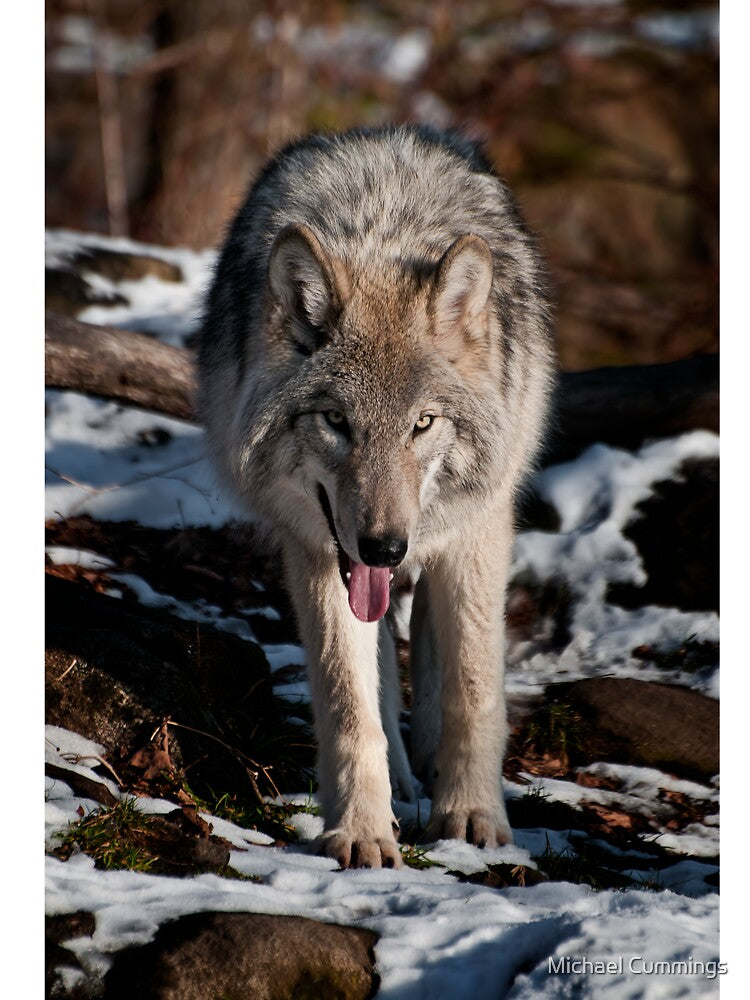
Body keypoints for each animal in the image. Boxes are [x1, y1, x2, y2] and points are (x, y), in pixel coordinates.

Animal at [198, 124, 554, 869]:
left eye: (422, 423)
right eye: (337, 421)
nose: (385, 546)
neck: (379, 236)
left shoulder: (480, 529)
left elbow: (473, 687)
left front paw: (471, 814)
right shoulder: (316, 548)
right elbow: (349, 703)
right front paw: (362, 829)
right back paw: (398, 777)